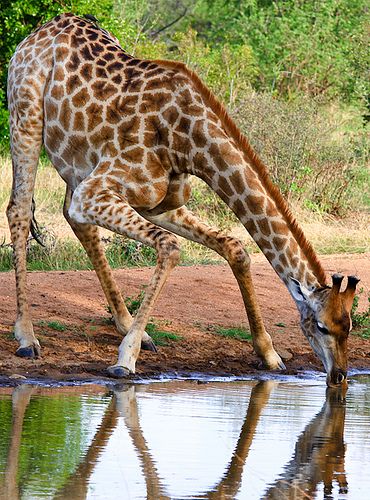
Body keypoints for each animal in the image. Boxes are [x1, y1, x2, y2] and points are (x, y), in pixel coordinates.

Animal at [5, 13, 358, 384]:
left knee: (74, 221)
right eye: (321, 326)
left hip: (76, 160)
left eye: (348, 327)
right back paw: (27, 336)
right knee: (19, 208)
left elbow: (235, 248)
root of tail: (46, 27)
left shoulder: (159, 204)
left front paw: (269, 354)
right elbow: (171, 247)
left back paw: (129, 326)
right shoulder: (95, 192)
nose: (339, 376)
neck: (189, 143)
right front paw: (125, 359)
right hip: (26, 116)